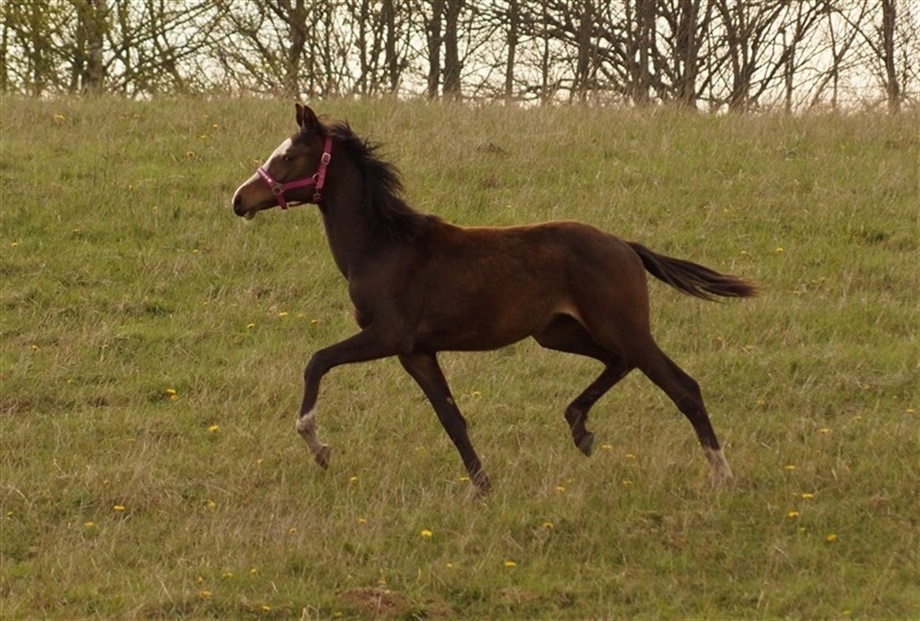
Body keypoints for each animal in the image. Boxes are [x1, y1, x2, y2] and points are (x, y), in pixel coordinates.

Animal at [231, 104, 757, 494]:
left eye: (288, 157)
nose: (239, 199)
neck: (383, 246)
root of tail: (625, 246)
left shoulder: (387, 336)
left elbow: (317, 361)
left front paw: (317, 445)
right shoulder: (416, 351)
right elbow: (451, 417)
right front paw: (483, 487)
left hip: (621, 327)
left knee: (683, 386)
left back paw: (723, 476)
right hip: (560, 333)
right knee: (619, 363)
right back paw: (580, 428)